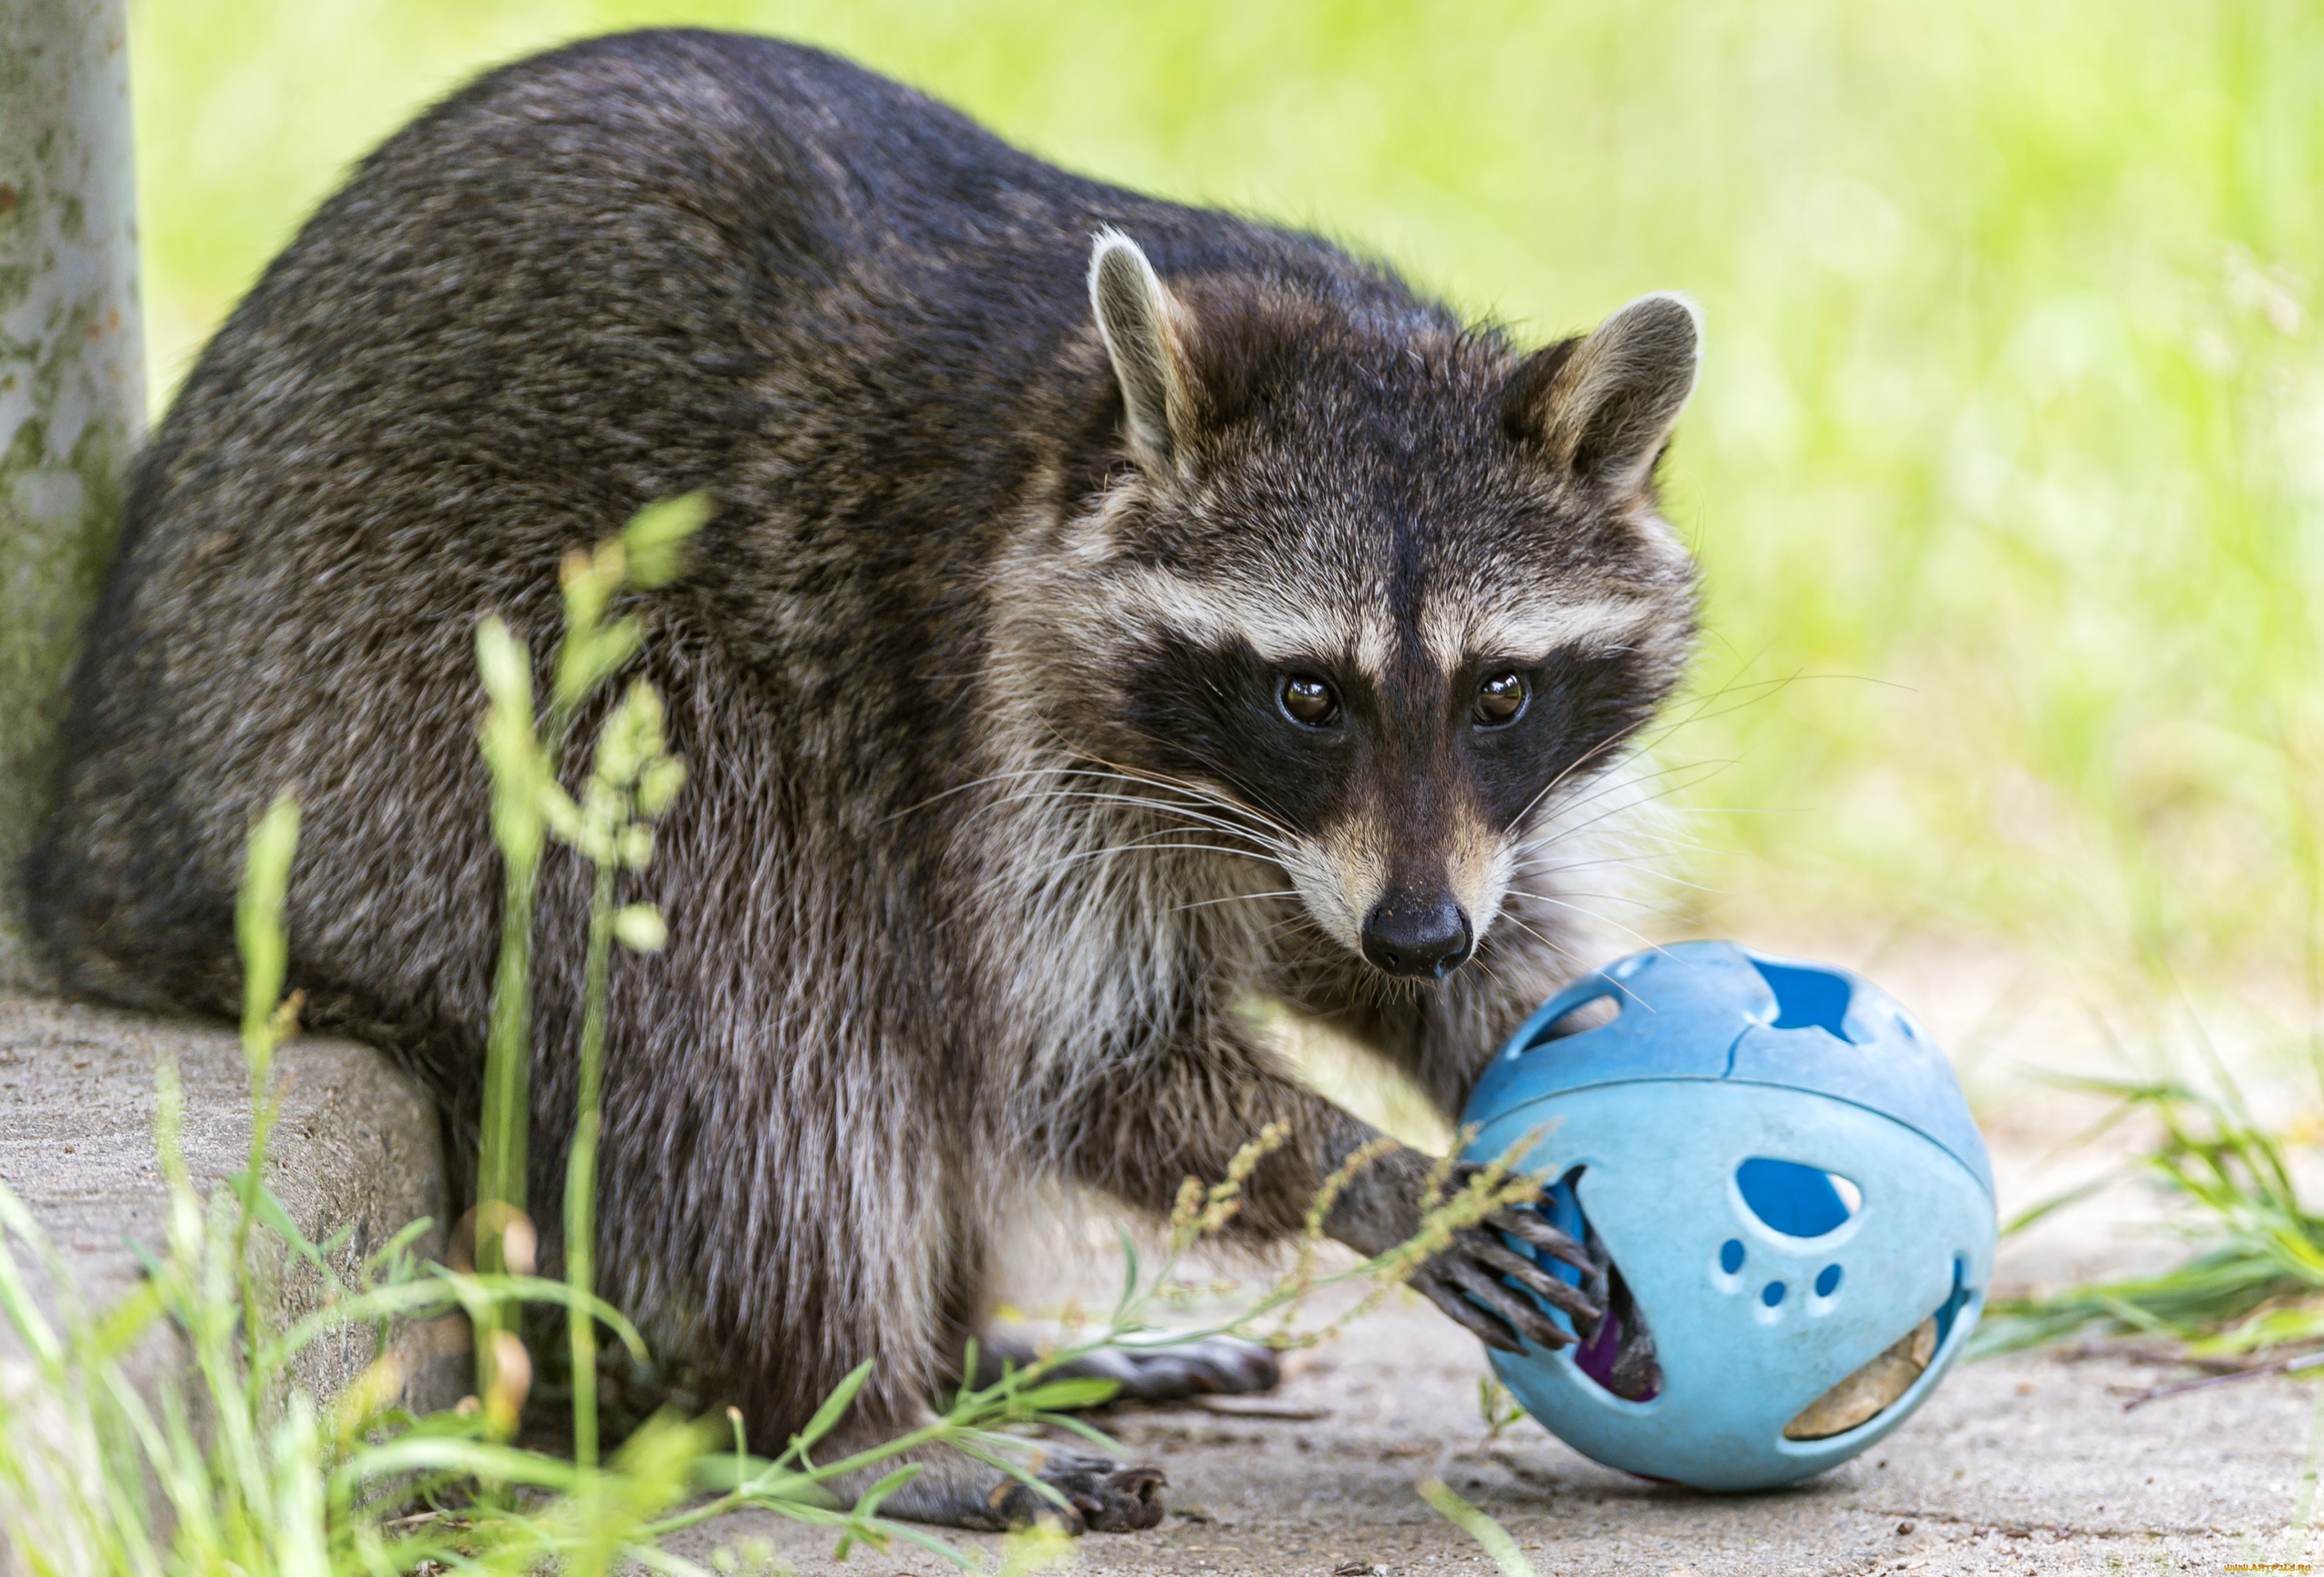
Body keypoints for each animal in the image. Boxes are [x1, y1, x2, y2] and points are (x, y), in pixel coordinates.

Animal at [23, 25, 1710, 1533]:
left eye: (1501, 692)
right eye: (1309, 693)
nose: (1422, 934)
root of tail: (103, 840)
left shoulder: (1414, 837)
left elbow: (1425, 948)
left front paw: (1511, 1018)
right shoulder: (979, 715)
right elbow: (1069, 1060)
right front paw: (1375, 1171)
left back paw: (972, 1343)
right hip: (397, 723)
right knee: (757, 992)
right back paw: (853, 1407)